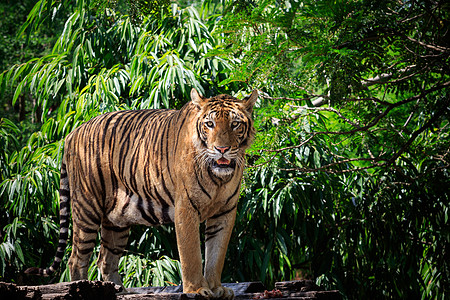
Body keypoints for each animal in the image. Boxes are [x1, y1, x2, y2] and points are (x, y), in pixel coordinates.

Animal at [25, 88, 256, 298]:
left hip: (116, 220)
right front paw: (197, 290)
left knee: (105, 259)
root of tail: (73, 132)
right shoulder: (186, 208)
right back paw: (80, 289)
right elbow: (191, 255)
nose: (222, 149)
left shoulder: (225, 212)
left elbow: (216, 255)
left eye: (235, 124)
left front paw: (217, 289)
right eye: (209, 124)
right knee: (76, 259)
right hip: (87, 207)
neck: (218, 178)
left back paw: (119, 291)